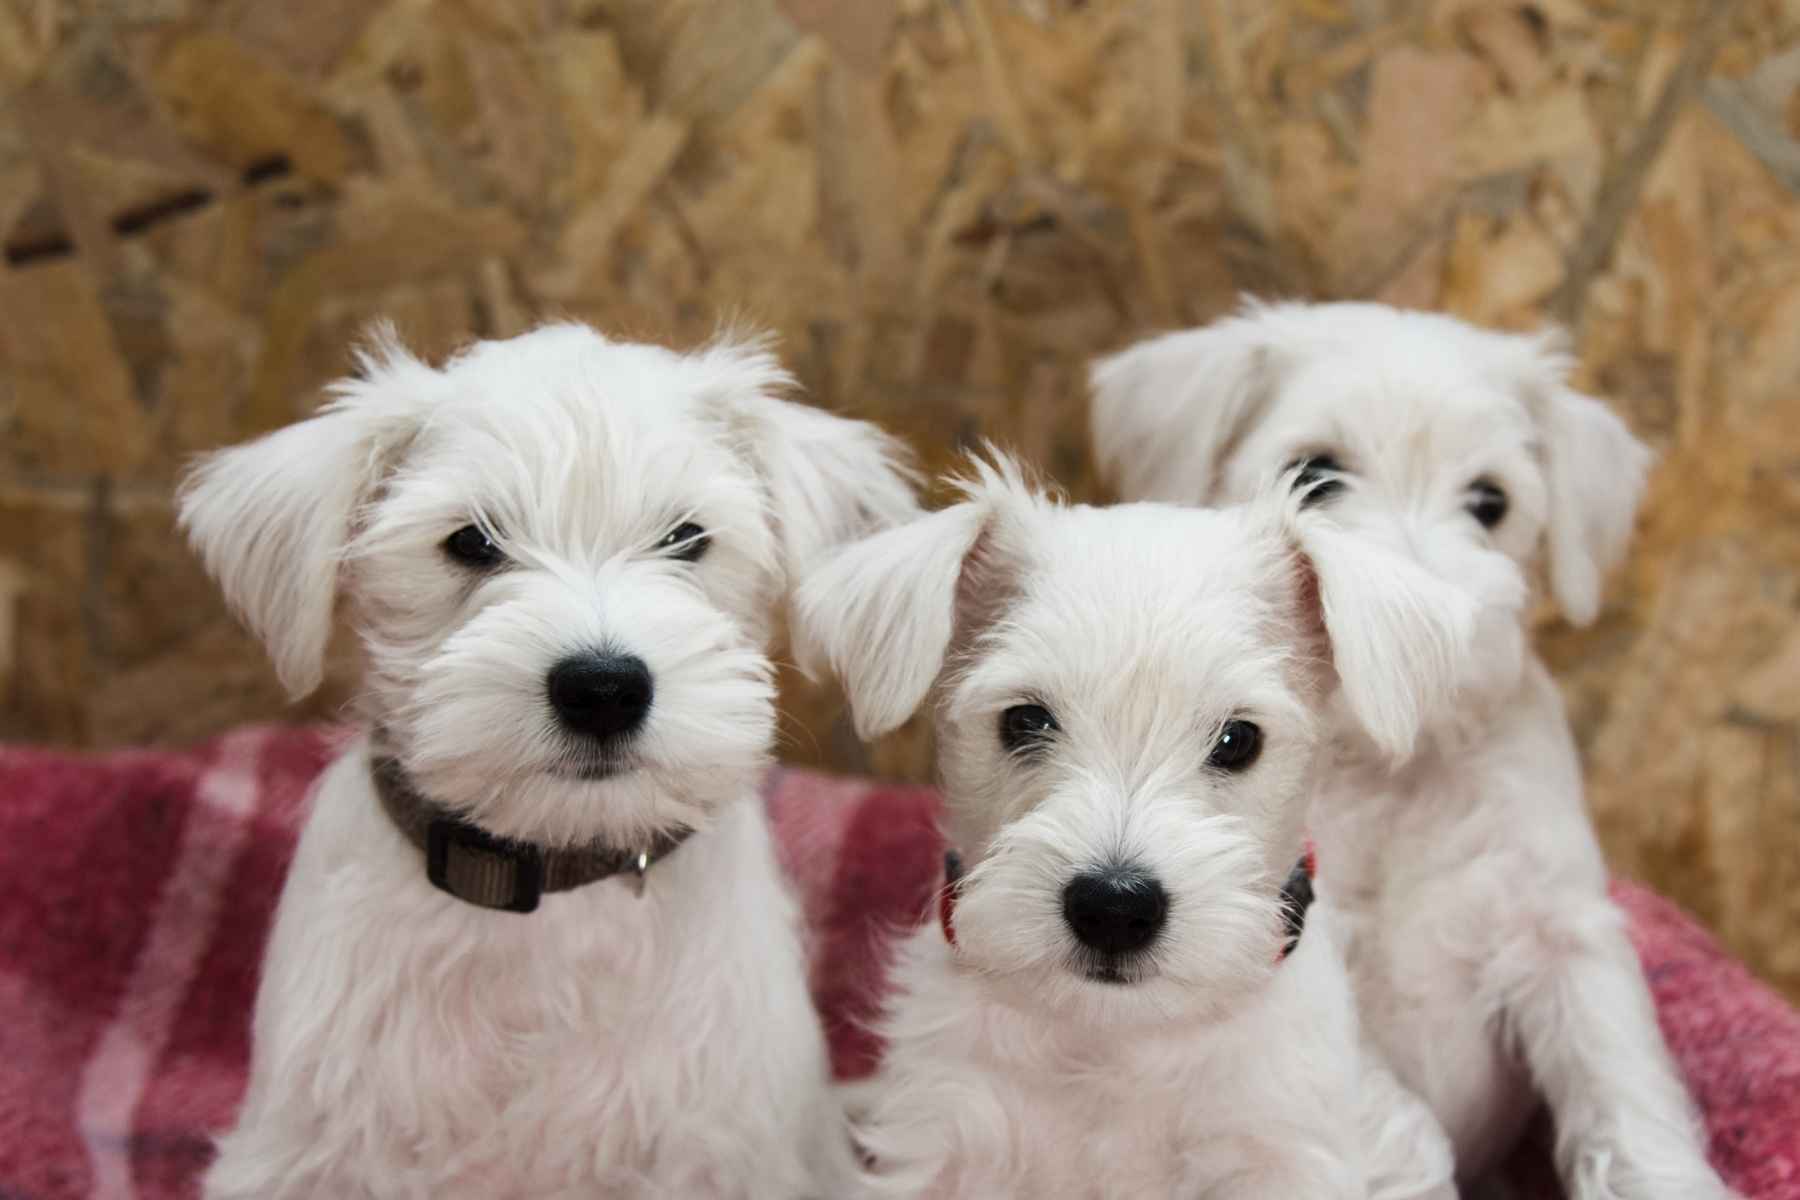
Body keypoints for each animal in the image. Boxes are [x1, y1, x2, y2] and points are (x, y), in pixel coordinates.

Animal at [799, 453, 1461, 1200]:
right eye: (1024, 720)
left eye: (1238, 739)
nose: (1114, 907)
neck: (1114, 1040)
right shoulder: (949, 1137)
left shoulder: (1278, 1153)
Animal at [1087, 300, 1735, 1200]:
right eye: (1314, 474)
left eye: (1490, 500)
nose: (1435, 632)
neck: (1400, 766)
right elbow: (1401, 1125)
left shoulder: (1564, 935)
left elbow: (1623, 1093)